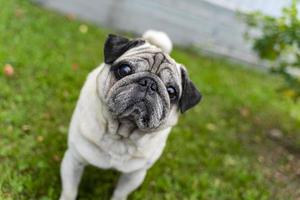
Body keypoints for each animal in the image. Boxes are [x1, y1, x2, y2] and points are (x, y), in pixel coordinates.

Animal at [59, 30, 202, 200]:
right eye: (125, 70)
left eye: (171, 92)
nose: (149, 83)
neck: (120, 133)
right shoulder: (74, 160)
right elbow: (69, 191)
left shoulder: (134, 175)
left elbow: (120, 193)